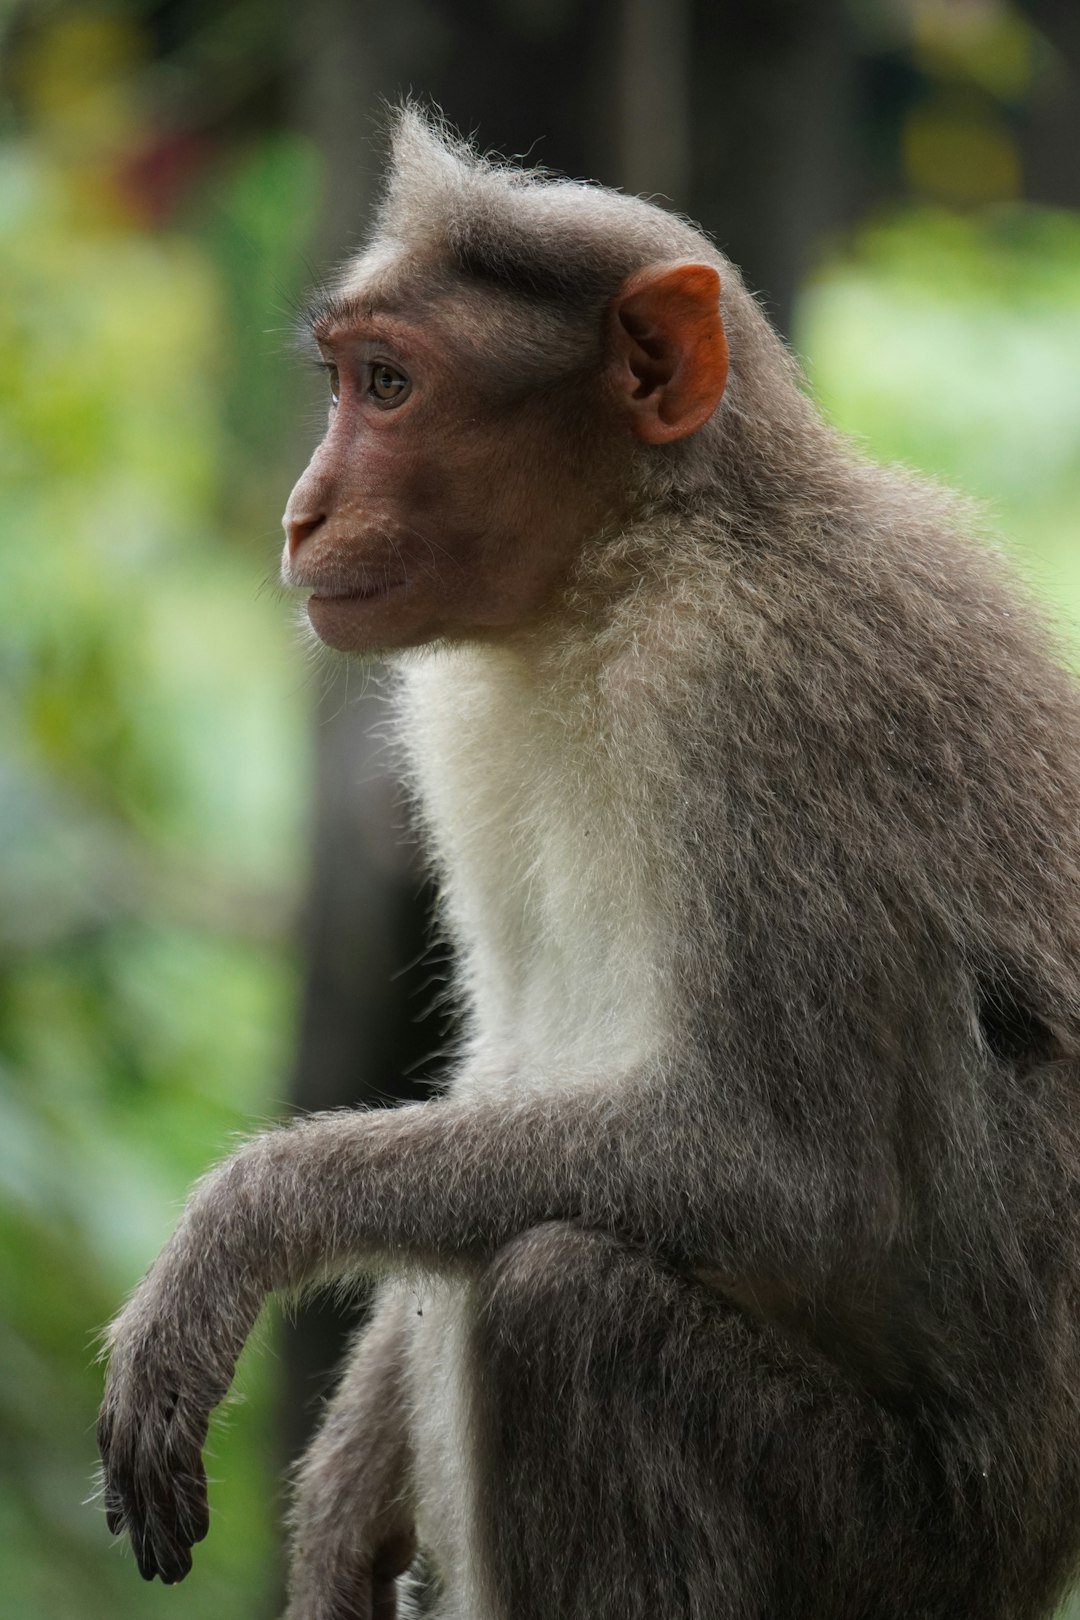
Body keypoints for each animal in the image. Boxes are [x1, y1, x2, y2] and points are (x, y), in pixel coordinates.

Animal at [97, 106, 1080, 1620]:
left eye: (390, 385)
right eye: (345, 378)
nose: (301, 513)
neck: (625, 569)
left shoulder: (750, 691)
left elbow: (798, 1172)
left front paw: (248, 1226)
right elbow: (501, 1072)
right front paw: (340, 1510)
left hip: (896, 1545)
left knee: (567, 1302)